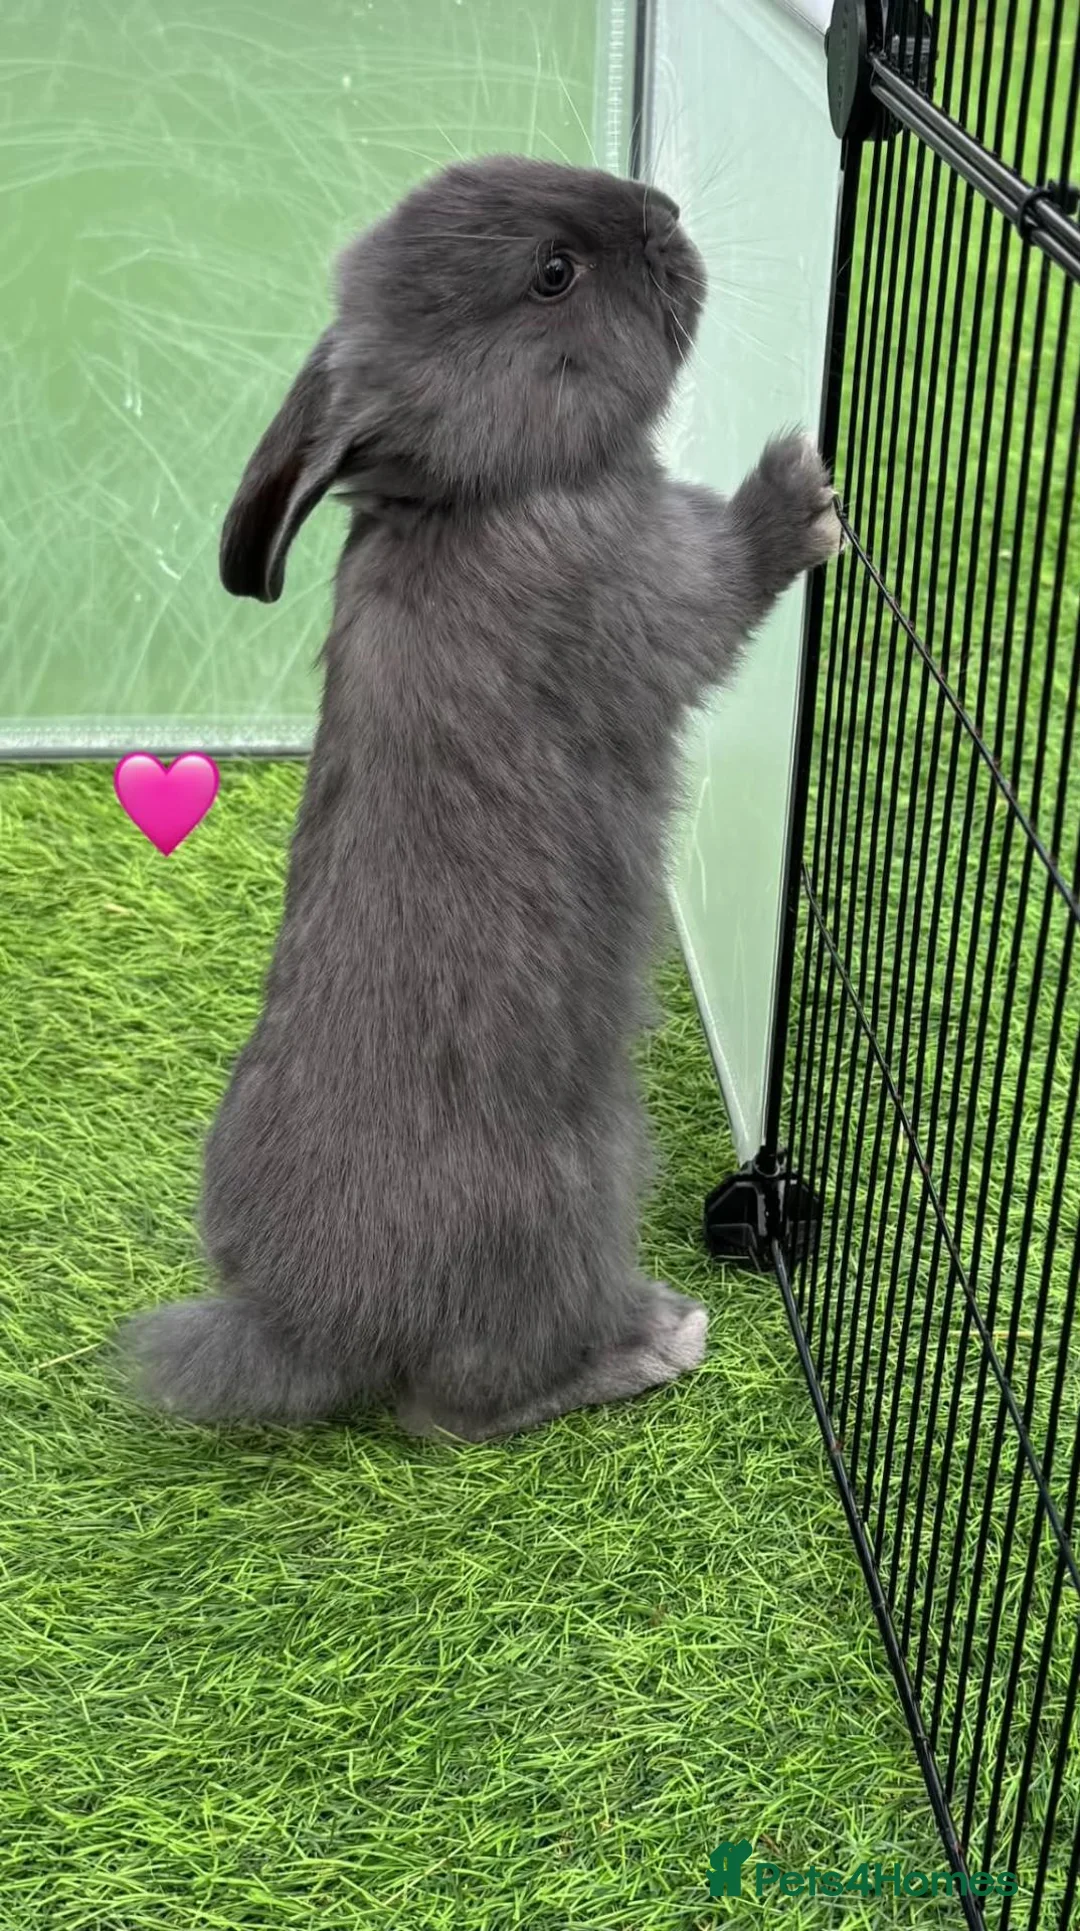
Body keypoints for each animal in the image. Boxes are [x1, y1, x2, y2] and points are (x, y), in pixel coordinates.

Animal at [120, 154, 841, 1441]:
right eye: (554, 273)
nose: (663, 213)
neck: (490, 489)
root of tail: (302, 1328)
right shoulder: (654, 590)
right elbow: (725, 583)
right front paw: (799, 485)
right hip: (574, 1199)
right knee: (458, 1407)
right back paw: (651, 1343)